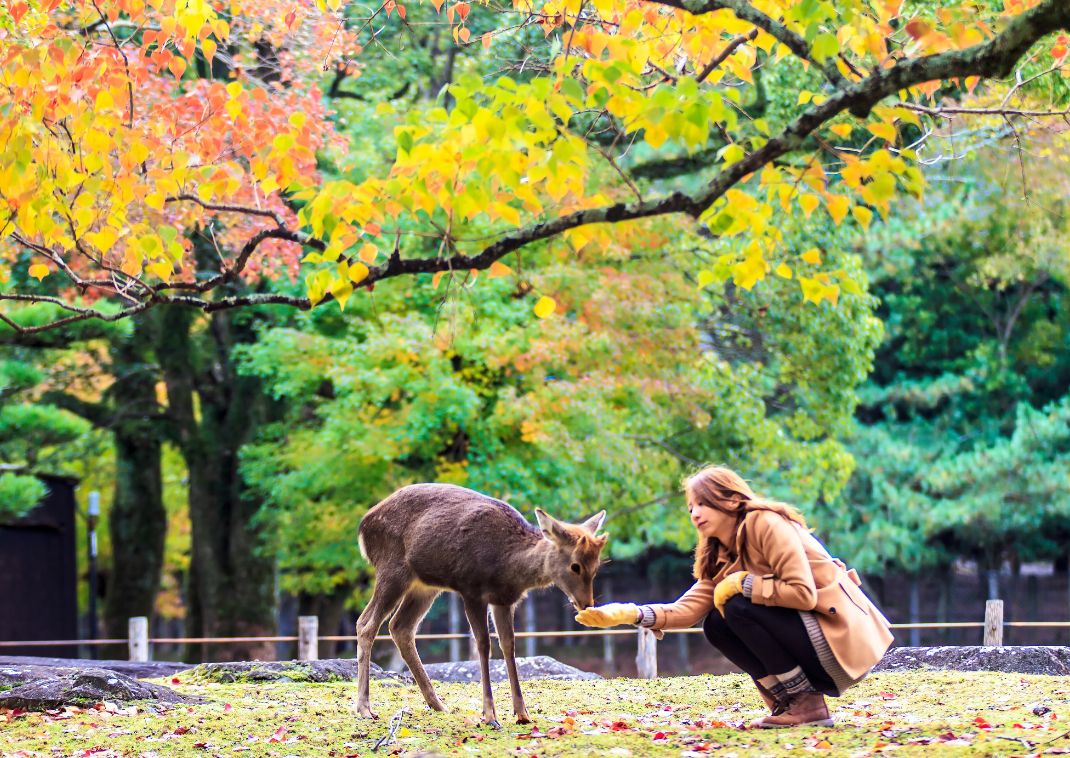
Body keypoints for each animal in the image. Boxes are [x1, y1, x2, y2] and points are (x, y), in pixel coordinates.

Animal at [357, 481, 612, 723]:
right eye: (575, 565)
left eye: (596, 567)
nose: (586, 603)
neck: (508, 565)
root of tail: (363, 527)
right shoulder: (471, 589)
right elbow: (483, 644)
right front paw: (490, 715)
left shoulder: (504, 600)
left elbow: (508, 645)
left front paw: (522, 713)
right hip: (392, 568)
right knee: (366, 623)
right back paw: (364, 708)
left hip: (425, 586)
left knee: (400, 627)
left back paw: (438, 705)